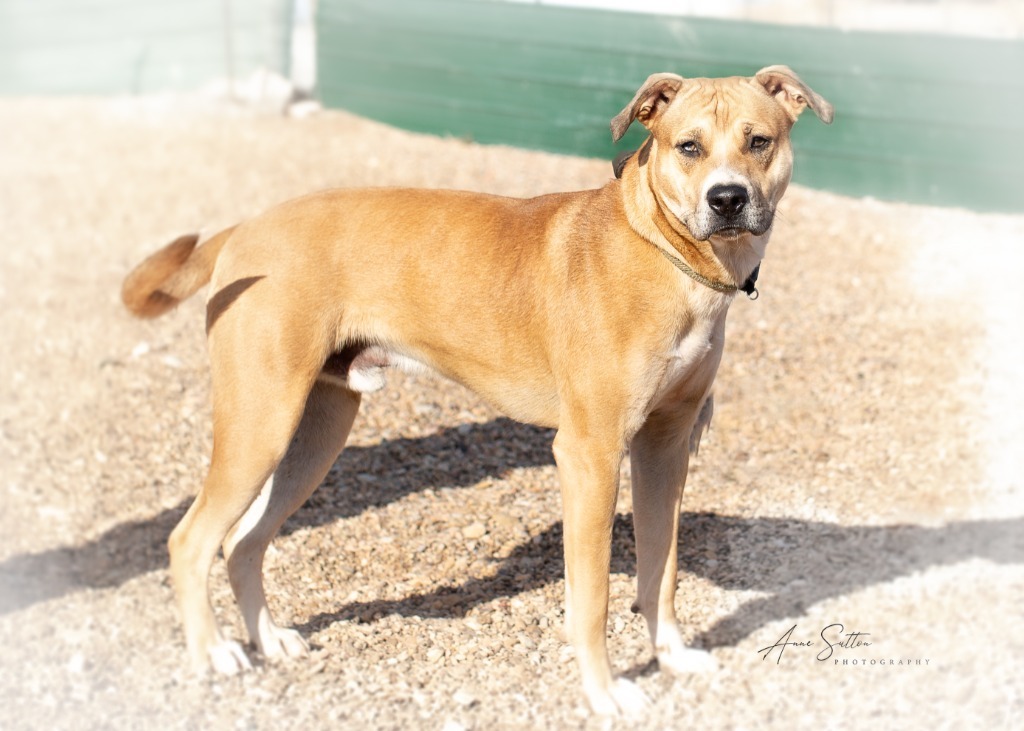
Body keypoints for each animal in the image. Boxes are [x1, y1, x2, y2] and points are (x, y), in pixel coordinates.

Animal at [121, 65, 831, 716]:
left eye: (759, 141)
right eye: (688, 147)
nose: (727, 198)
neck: (661, 248)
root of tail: (244, 228)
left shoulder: (666, 445)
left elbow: (662, 570)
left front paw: (674, 657)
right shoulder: (591, 455)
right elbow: (594, 598)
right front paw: (605, 694)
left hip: (314, 433)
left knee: (242, 541)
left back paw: (269, 640)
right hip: (261, 424)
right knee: (191, 540)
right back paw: (216, 652)